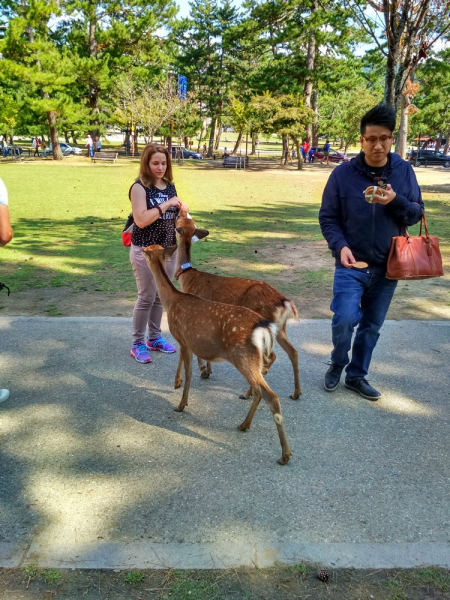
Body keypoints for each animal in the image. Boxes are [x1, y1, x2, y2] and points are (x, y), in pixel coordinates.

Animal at [142, 241, 294, 466]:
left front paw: (181, 404)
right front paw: (177, 383)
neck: (172, 302)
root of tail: (263, 327)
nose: (138, 247)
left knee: (271, 396)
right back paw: (244, 424)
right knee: (261, 390)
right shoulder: (186, 341)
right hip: (254, 358)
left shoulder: (183, 337)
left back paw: (284, 454)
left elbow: (189, 373)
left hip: (243, 356)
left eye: (146, 250)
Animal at [176, 213, 302, 400]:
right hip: (280, 327)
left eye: (179, 220)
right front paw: (208, 371)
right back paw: (296, 393)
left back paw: (248, 393)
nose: (180, 212)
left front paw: (204, 371)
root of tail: (284, 302)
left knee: (270, 357)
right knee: (292, 352)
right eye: (186, 221)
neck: (187, 278)